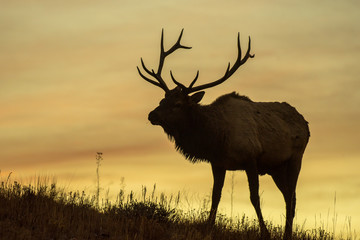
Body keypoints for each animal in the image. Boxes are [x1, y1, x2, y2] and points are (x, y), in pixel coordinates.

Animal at [137, 29, 310, 239]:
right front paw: (208, 228)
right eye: (162, 100)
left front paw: (265, 233)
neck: (217, 137)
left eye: (177, 104)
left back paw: (287, 234)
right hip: (276, 167)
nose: (152, 115)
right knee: (289, 196)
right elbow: (215, 196)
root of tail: (305, 123)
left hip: (296, 158)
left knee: (291, 197)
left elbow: (254, 197)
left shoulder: (251, 157)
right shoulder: (218, 163)